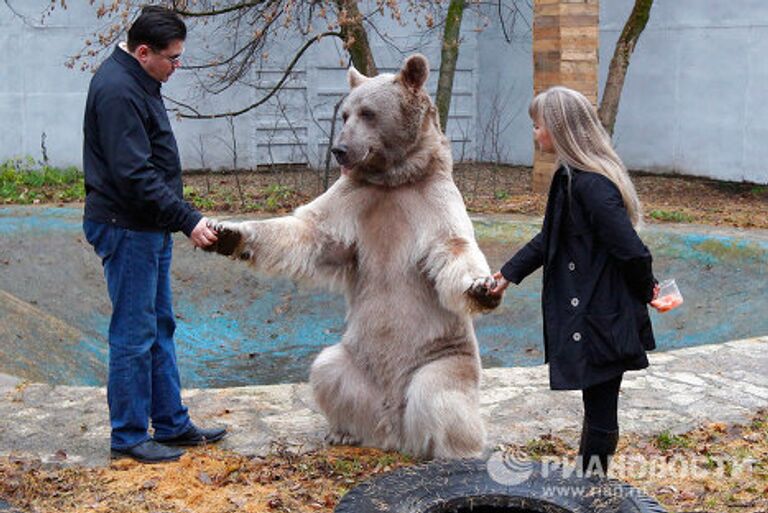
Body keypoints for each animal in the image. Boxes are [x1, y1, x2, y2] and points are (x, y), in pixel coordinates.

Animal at [207, 55, 500, 456]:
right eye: (344, 113)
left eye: (368, 112)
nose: (340, 149)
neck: (394, 178)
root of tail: (395, 430)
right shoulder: (354, 199)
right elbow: (310, 231)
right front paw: (228, 234)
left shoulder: (433, 200)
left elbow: (453, 247)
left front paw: (484, 288)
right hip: (357, 362)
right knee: (327, 370)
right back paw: (344, 431)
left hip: (444, 354)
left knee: (441, 395)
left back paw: (452, 450)